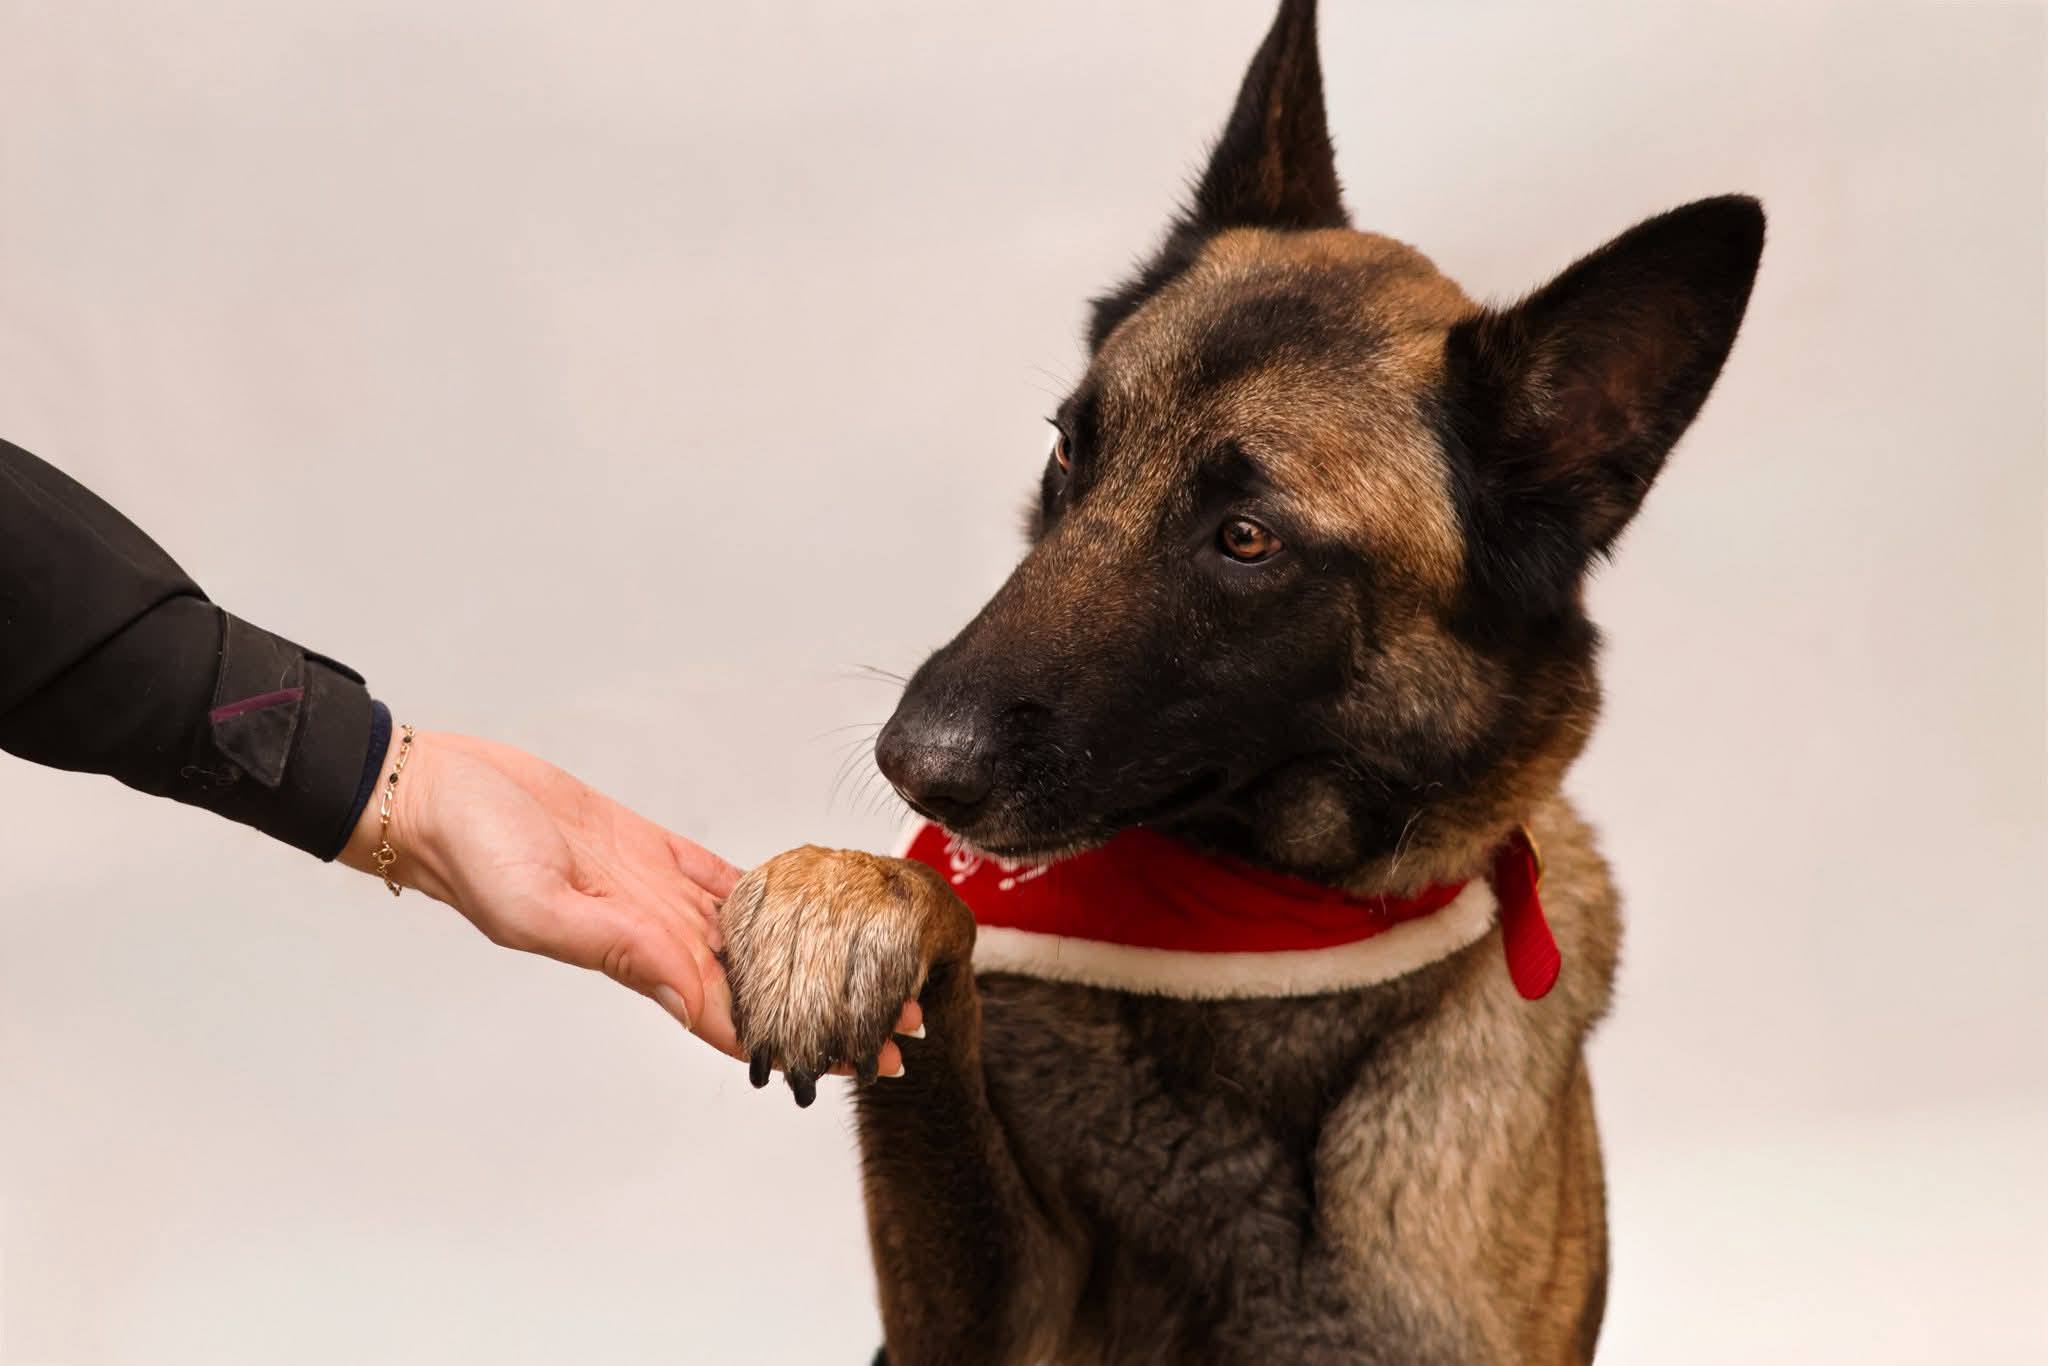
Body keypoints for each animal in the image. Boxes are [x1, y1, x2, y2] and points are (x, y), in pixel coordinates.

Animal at [717, 2, 1762, 1360]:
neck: (1261, 940)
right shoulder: (984, 1323)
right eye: (1071, 449)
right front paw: (843, 891)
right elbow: (935, 943)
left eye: (1246, 539)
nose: (913, 764)